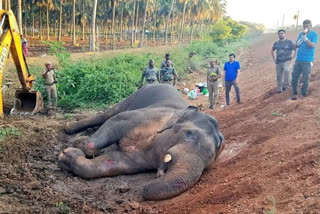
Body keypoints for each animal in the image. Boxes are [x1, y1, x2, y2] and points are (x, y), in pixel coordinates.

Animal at [59, 84, 225, 201]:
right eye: (188, 134)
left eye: (208, 162)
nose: (144, 187)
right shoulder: (147, 115)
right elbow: (117, 121)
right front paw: (77, 145)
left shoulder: (138, 159)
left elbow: (113, 162)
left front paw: (66, 156)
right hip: (135, 94)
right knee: (108, 115)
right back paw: (69, 128)